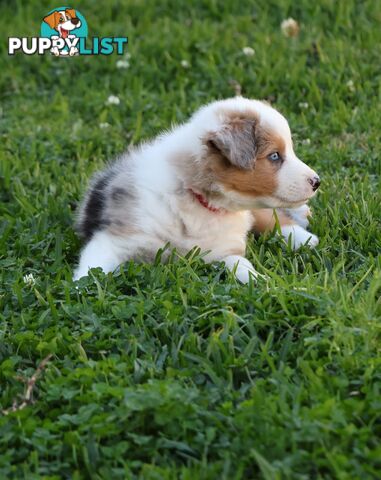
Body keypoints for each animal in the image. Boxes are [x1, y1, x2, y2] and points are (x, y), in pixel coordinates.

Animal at [72, 96, 320, 282]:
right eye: (275, 156)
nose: (317, 181)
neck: (194, 195)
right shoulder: (115, 238)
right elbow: (91, 271)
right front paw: (79, 293)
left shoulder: (223, 248)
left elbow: (242, 265)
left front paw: (262, 282)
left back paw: (303, 237)